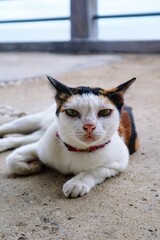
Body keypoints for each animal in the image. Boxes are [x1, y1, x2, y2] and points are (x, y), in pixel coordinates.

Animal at [0, 76, 138, 198]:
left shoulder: (119, 162)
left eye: (105, 112)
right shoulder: (39, 147)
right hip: (32, 121)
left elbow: (97, 170)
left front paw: (77, 183)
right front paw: (33, 166)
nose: (89, 126)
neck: (77, 150)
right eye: (71, 112)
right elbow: (12, 160)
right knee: (9, 127)